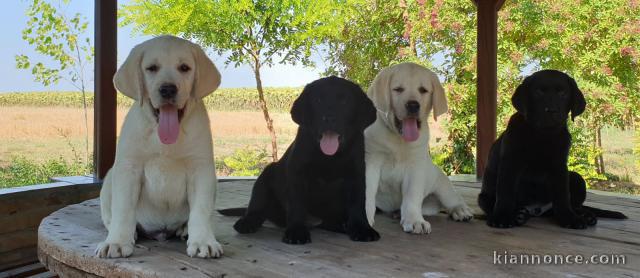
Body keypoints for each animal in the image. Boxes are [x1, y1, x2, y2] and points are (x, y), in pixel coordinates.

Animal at [96, 36, 224, 258]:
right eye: (152, 68)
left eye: (184, 68)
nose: (168, 89)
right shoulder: (128, 168)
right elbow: (123, 209)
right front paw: (117, 242)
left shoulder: (201, 169)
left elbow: (200, 210)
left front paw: (203, 241)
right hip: (110, 180)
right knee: (112, 216)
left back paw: (184, 229)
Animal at [220, 76, 380, 243]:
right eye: (318, 100)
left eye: (345, 101)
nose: (329, 118)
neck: (330, 156)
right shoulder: (297, 173)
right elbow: (297, 203)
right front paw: (296, 230)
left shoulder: (356, 174)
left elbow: (358, 203)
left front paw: (362, 228)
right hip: (266, 175)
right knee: (257, 207)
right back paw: (248, 221)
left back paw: (342, 226)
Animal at [362, 62, 472, 233]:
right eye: (398, 89)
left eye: (423, 90)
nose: (413, 105)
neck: (398, 140)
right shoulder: (371, 162)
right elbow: (367, 193)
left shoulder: (416, 167)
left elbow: (412, 196)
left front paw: (414, 220)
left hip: (441, 182)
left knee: (452, 198)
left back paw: (461, 210)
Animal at [480, 70, 624, 230]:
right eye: (538, 92)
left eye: (563, 93)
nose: (551, 110)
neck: (543, 134)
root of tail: (535, 209)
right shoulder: (510, 163)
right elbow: (506, 192)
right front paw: (502, 217)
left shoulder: (560, 167)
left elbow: (562, 196)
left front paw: (569, 218)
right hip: (485, 196)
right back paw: (519, 214)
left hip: (577, 178)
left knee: (569, 205)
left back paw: (585, 215)